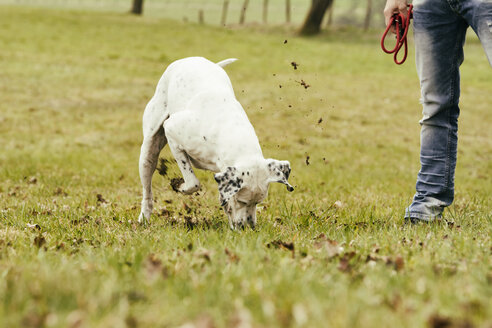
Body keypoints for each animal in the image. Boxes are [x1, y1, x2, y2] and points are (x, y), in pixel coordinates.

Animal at [136, 56, 294, 229]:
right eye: (242, 201)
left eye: (258, 202)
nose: (249, 227)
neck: (230, 129)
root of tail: (190, 59)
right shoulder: (172, 130)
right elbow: (193, 182)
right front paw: (179, 185)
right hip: (148, 153)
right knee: (147, 192)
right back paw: (143, 218)